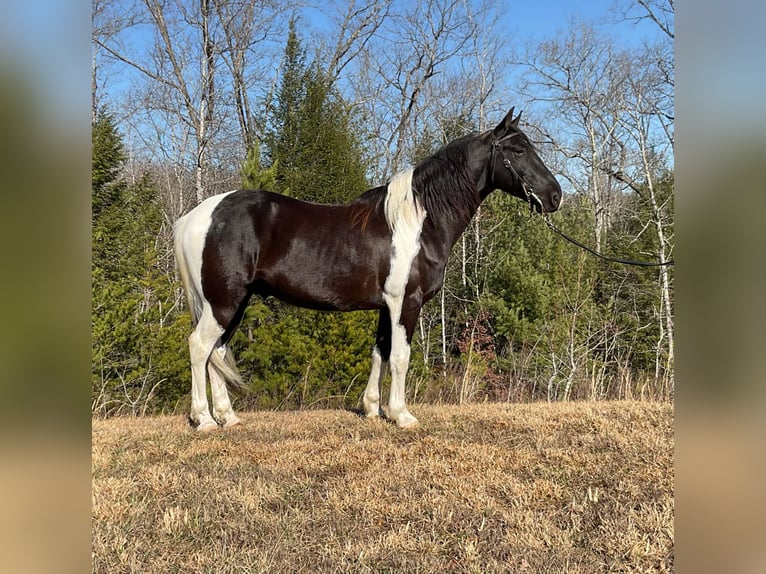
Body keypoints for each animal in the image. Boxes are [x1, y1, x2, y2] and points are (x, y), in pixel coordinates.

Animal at [176, 108, 564, 432]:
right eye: (517, 150)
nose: (555, 196)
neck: (417, 220)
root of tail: (196, 216)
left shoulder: (385, 306)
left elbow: (380, 352)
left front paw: (374, 409)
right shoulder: (406, 302)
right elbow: (401, 356)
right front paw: (402, 415)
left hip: (232, 303)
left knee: (217, 352)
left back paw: (228, 417)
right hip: (224, 302)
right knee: (199, 347)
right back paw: (204, 420)